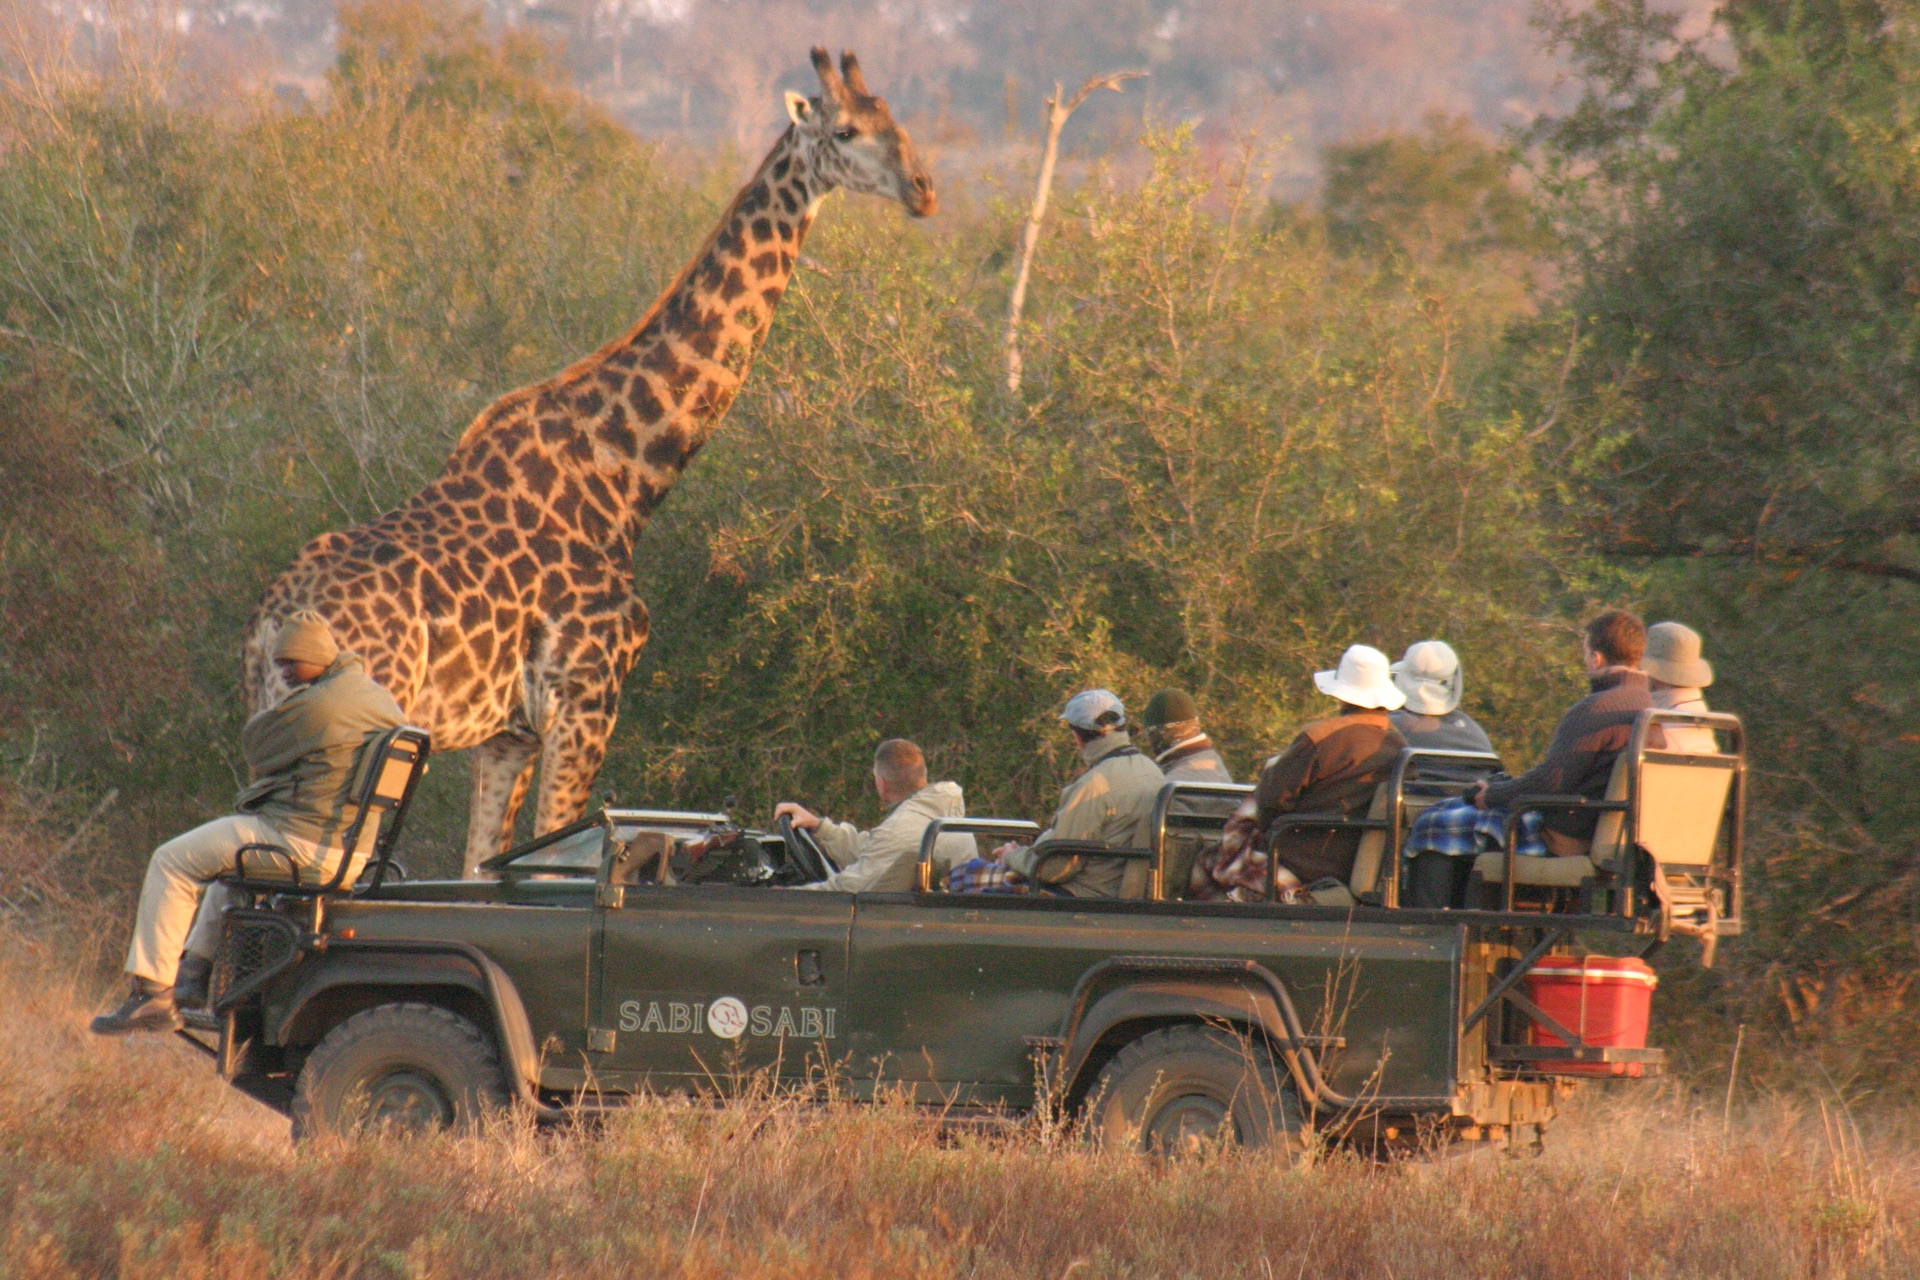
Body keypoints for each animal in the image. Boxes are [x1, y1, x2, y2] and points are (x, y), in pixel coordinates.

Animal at [243, 50, 933, 875]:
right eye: (846, 130)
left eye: (896, 119)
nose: (924, 189)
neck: (627, 474)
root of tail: (271, 622)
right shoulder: (586, 703)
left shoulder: (508, 732)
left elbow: (481, 865)